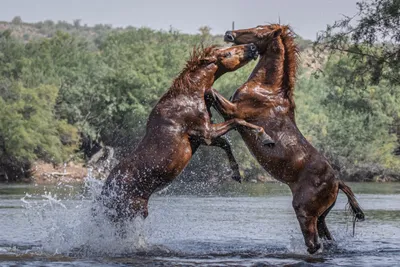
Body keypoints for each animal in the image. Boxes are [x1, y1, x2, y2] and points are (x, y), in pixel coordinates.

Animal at [101, 44, 274, 224]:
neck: (191, 94)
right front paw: (265, 137)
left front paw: (236, 174)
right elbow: (237, 121)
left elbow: (226, 143)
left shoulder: (202, 138)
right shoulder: (205, 132)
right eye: (228, 53)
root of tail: (106, 193)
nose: (252, 47)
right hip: (129, 212)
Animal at [209, 24, 366, 254]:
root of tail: (337, 182)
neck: (266, 89)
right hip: (321, 218)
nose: (229, 34)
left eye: (259, 31)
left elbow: (210, 93)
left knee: (313, 245)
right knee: (327, 240)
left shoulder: (233, 110)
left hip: (305, 213)